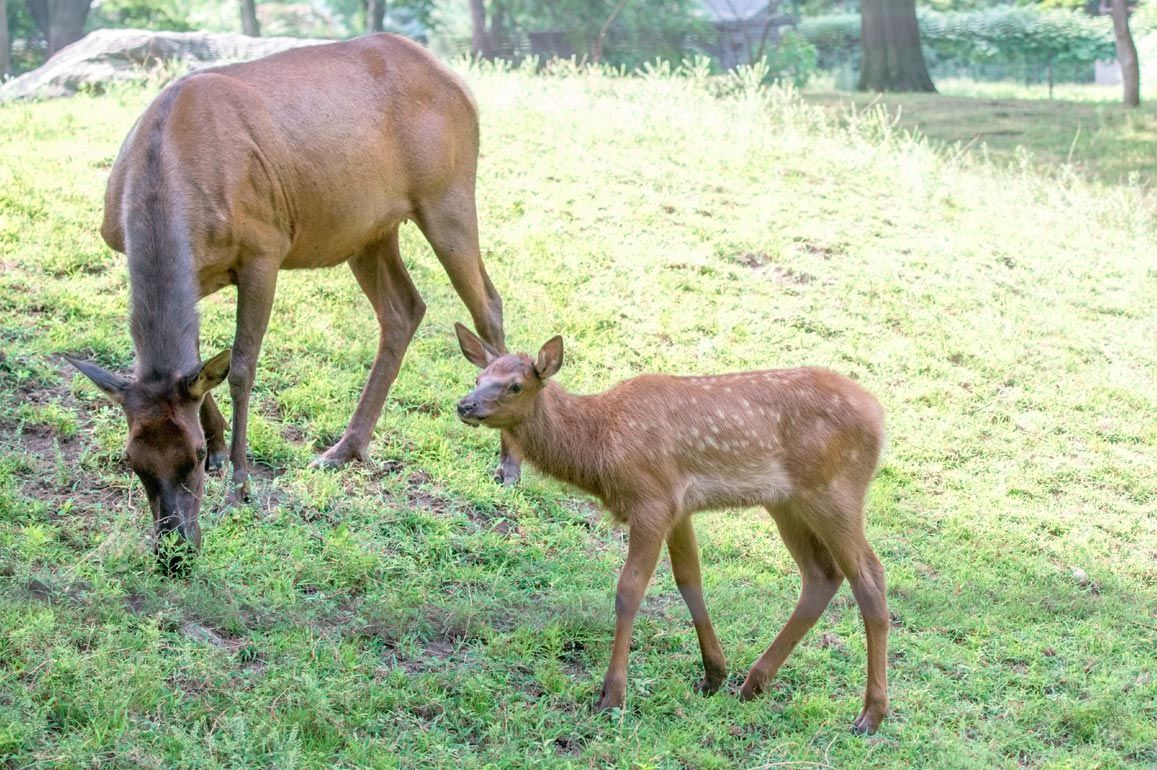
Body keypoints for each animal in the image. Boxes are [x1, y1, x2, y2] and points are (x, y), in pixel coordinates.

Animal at [64, 34, 516, 573]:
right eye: (131, 459)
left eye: (190, 456)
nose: (175, 552)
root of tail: (460, 84)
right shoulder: (184, 270)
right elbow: (195, 363)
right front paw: (222, 449)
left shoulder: (264, 248)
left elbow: (240, 366)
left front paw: (239, 484)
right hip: (370, 229)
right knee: (404, 308)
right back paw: (345, 448)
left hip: (448, 194)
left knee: (488, 306)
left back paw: (508, 464)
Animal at [453, 324, 891, 734]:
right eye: (478, 377)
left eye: (515, 385)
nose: (465, 405)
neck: (600, 447)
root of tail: (879, 416)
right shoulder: (679, 508)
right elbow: (688, 579)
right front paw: (713, 674)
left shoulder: (652, 501)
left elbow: (629, 590)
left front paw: (612, 696)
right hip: (787, 502)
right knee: (821, 574)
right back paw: (753, 684)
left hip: (835, 490)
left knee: (869, 575)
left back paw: (870, 716)